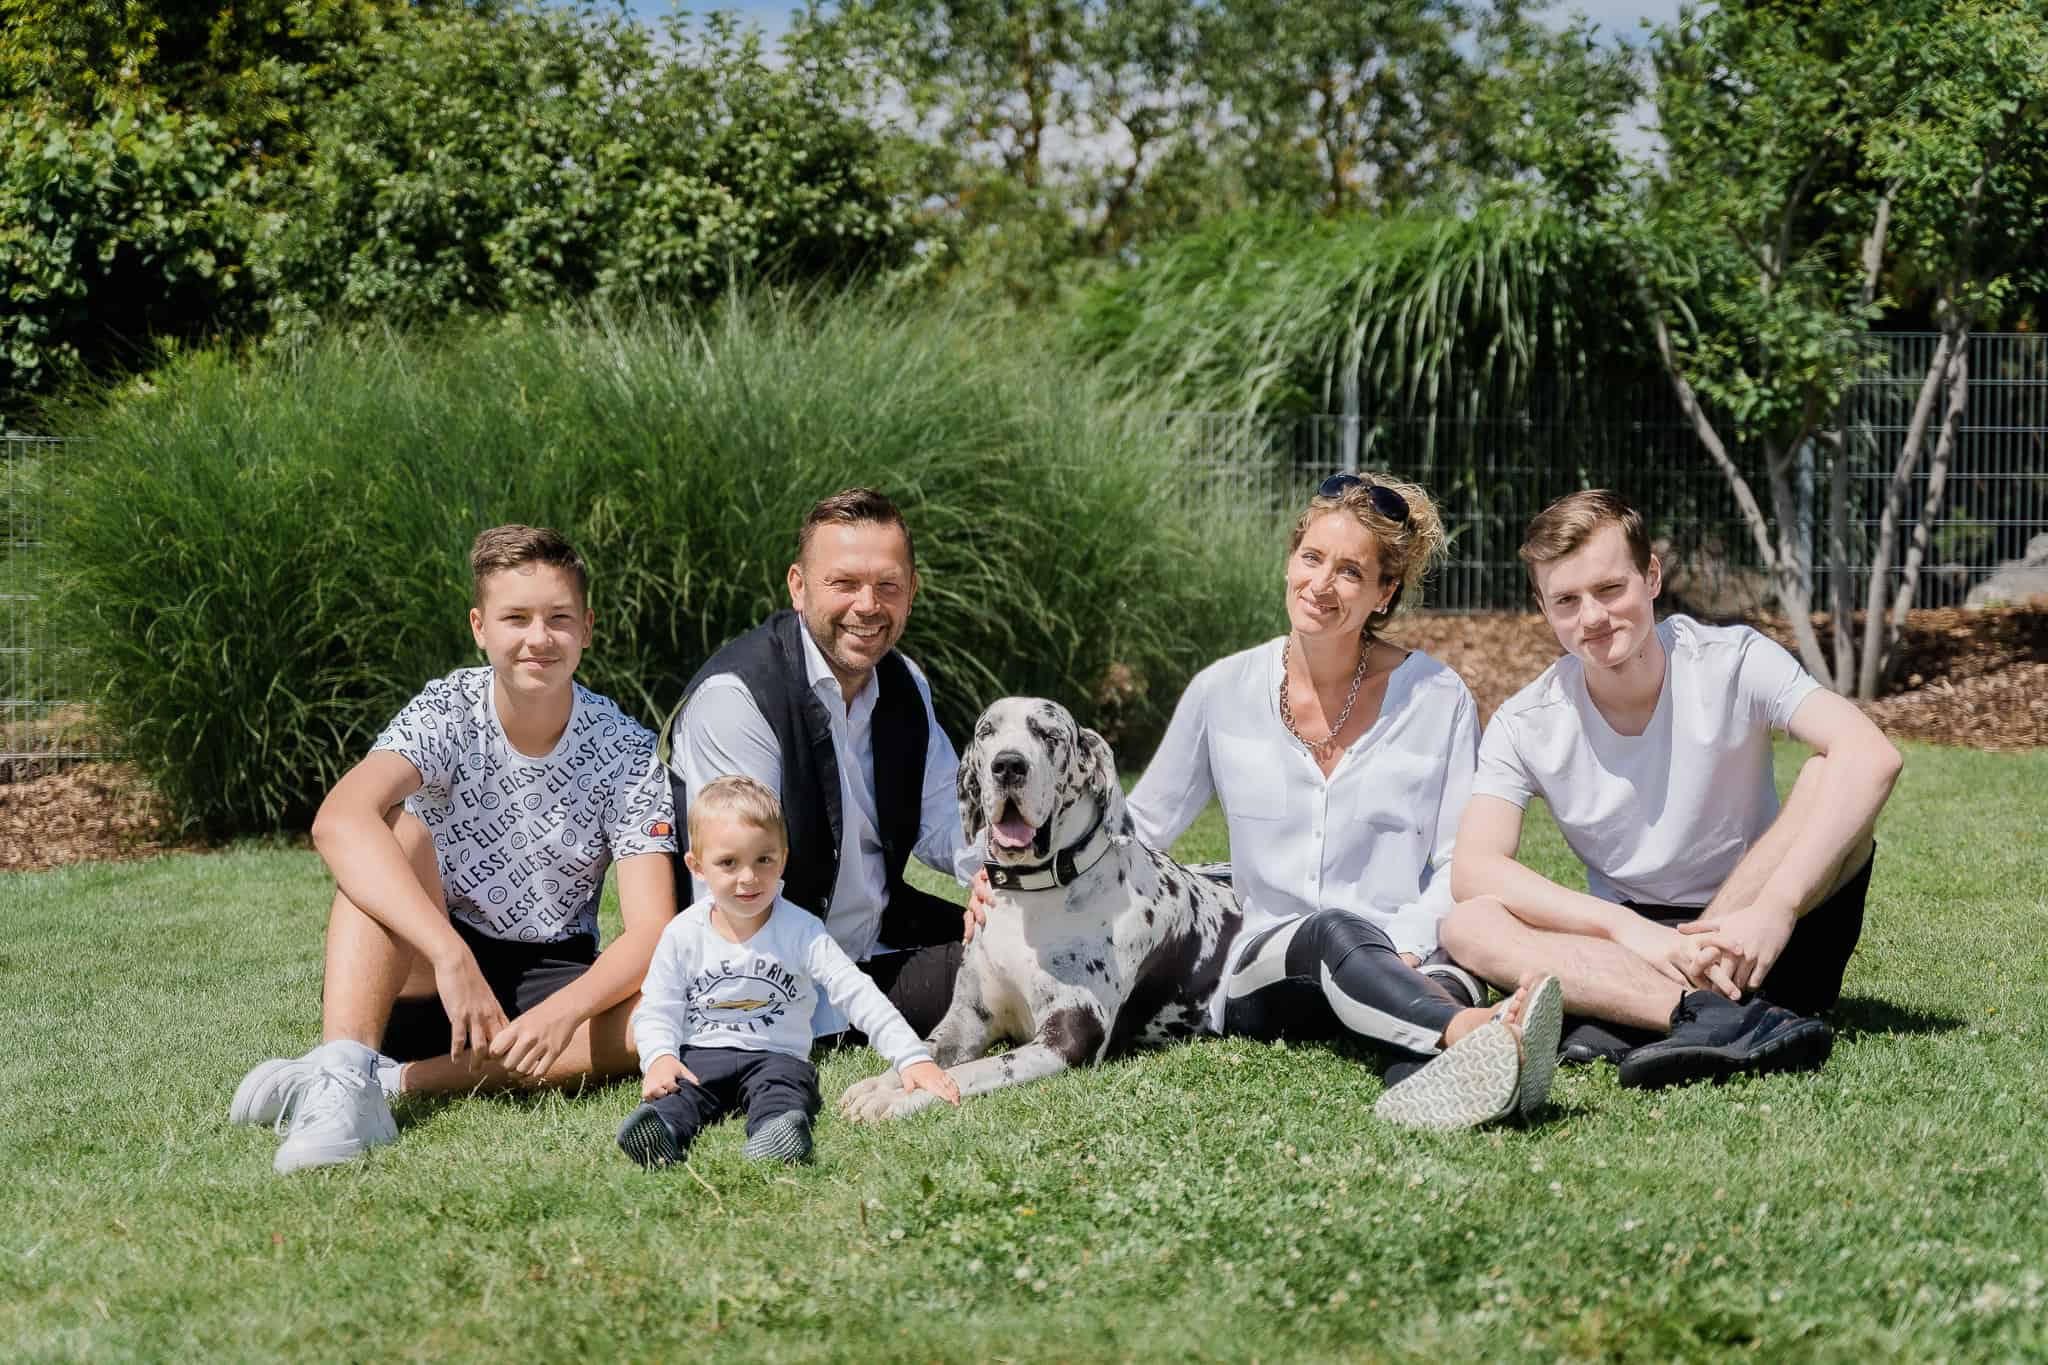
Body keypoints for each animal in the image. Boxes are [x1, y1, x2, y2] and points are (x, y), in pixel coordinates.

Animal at [835, 699, 1245, 1129]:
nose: (1008, 765)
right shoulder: (966, 1020)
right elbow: (926, 1051)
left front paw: (896, 1099)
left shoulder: (1065, 1039)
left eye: (1050, 735)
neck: (1028, 897)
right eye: (987, 732)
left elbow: (969, 1072)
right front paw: (881, 1084)